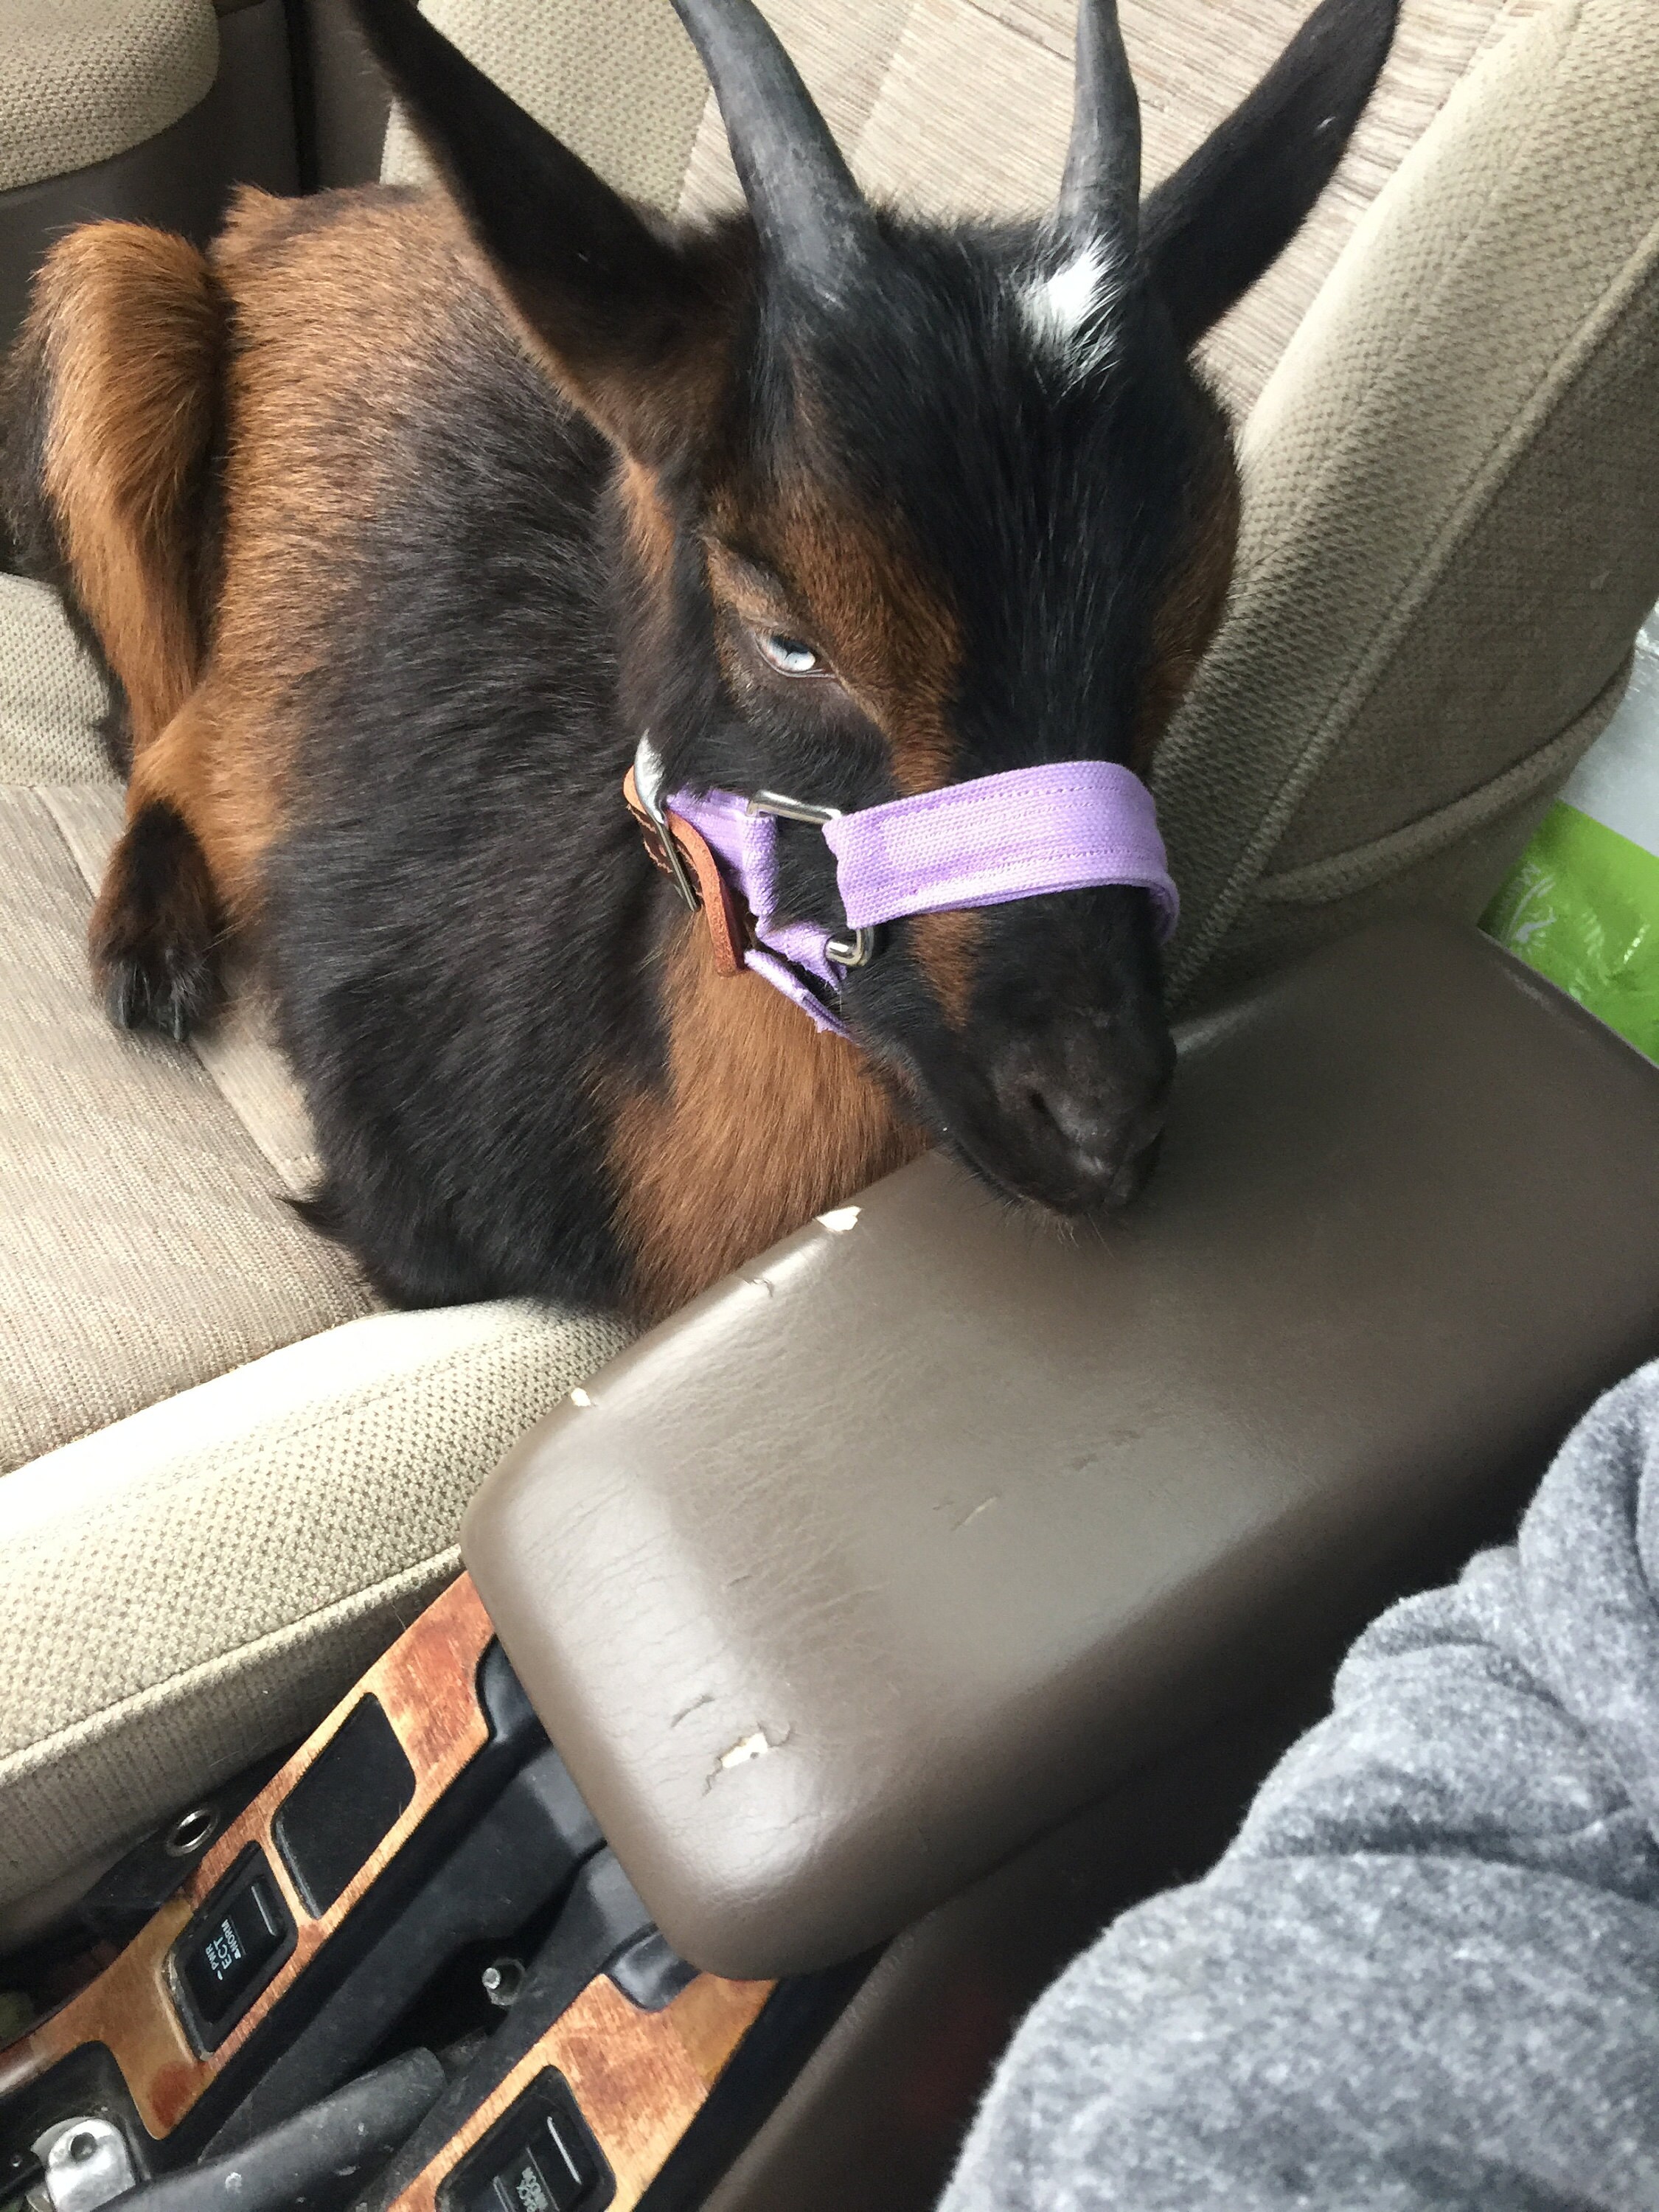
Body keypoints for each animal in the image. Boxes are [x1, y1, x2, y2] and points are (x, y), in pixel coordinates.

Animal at [2, 0, 1396, 1321]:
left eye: (1187, 621)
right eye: (787, 635)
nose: (1097, 1122)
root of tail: (288, 216)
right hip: (116, 291)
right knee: (157, 731)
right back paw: (149, 950)